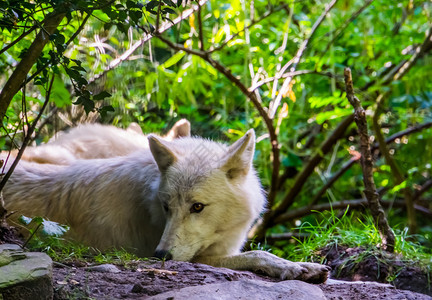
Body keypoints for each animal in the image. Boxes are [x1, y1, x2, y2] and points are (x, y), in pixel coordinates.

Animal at [1, 130, 330, 282]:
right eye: (167, 206)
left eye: (197, 207)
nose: (161, 256)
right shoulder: (199, 257)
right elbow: (259, 254)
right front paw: (297, 267)